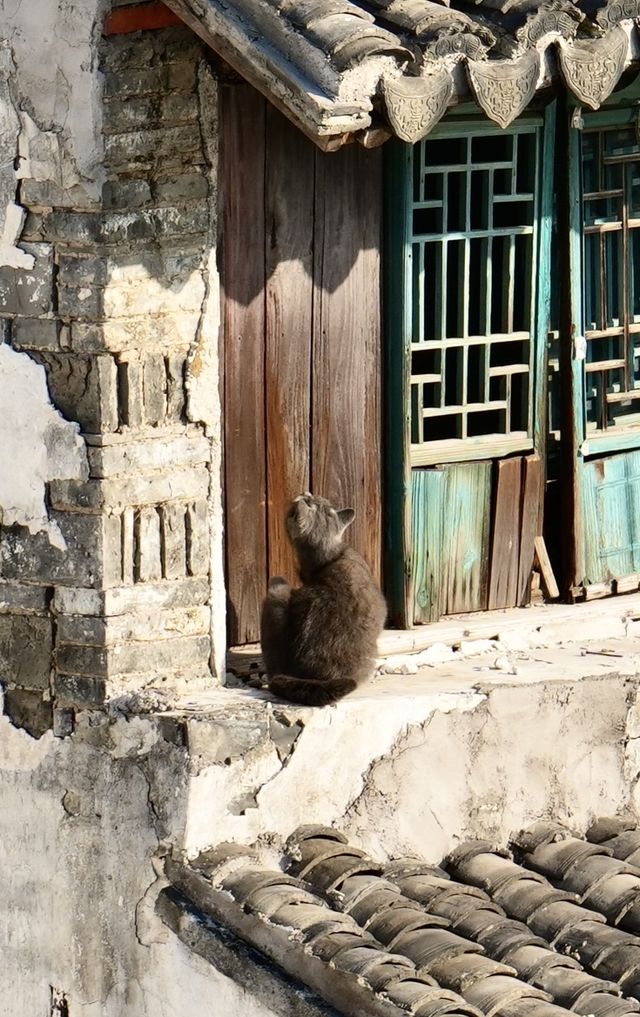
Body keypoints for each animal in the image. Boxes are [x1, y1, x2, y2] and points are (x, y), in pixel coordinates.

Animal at [258, 494, 384, 707]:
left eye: (311, 500)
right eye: (316, 500)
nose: (306, 494)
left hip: (276, 588)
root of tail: (312, 678)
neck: (328, 555)